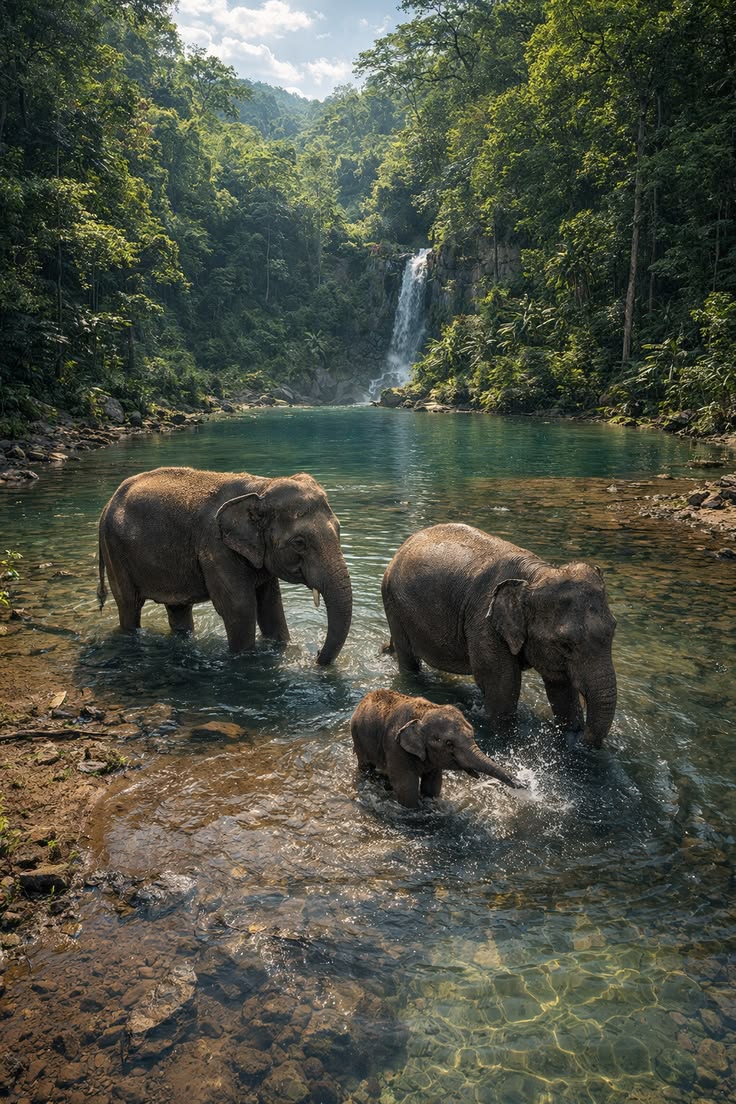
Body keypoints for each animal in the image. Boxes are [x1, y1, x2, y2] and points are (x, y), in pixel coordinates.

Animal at [97, 466, 352, 663]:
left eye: (339, 529)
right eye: (299, 543)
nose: (315, 655)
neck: (260, 488)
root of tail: (107, 504)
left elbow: (271, 605)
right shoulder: (216, 547)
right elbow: (240, 608)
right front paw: (245, 659)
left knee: (178, 608)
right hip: (115, 550)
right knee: (129, 604)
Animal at [350, 689, 526, 808]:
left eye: (473, 734)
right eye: (449, 743)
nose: (525, 784)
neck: (424, 712)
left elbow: (433, 784)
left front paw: (431, 802)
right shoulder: (395, 747)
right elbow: (406, 787)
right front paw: (414, 810)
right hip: (357, 735)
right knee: (365, 765)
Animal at [382, 523, 617, 747]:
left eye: (614, 629)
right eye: (565, 644)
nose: (585, 737)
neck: (536, 575)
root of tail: (404, 544)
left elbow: (561, 688)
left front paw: (570, 739)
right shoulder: (485, 623)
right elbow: (503, 688)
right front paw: (507, 739)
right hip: (394, 605)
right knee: (408, 659)